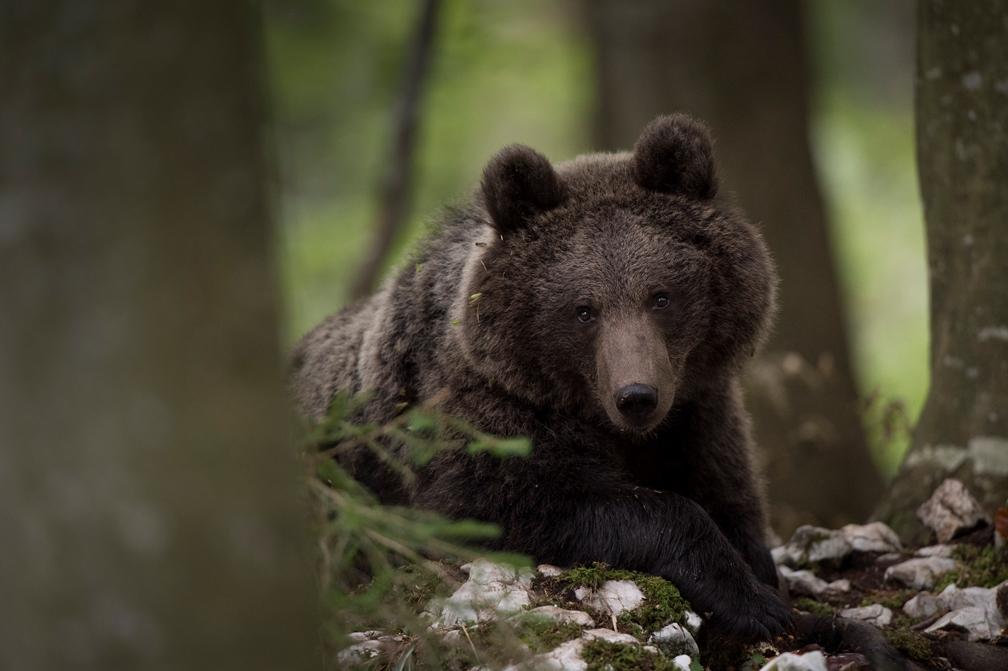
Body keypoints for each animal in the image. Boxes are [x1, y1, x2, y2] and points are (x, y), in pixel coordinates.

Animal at [291, 114, 790, 641]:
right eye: (584, 309)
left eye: (661, 296)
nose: (637, 396)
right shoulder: (482, 416)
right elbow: (521, 505)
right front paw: (753, 602)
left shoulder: (699, 409)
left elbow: (728, 492)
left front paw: (761, 574)